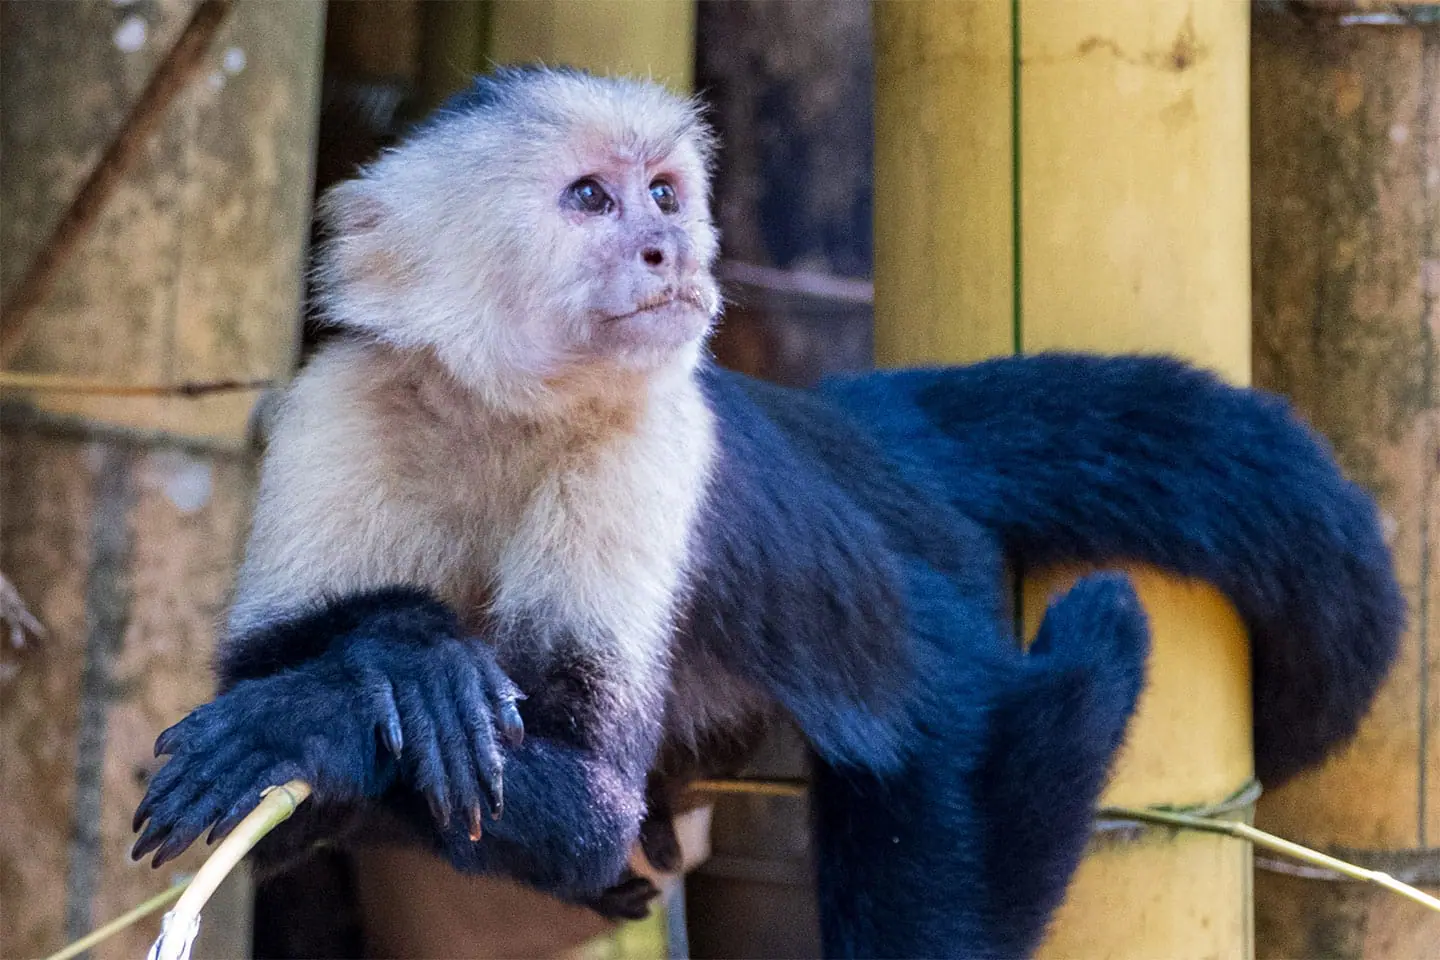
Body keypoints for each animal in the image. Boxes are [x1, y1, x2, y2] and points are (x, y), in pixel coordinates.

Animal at [132, 69, 1393, 960]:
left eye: (664, 193)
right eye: (589, 198)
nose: (667, 246)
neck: (508, 414)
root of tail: (852, 436)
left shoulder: (652, 453)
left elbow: (586, 796)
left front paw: (320, 718)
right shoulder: (336, 409)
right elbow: (278, 791)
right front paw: (394, 656)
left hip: (932, 601)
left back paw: (1092, 676)